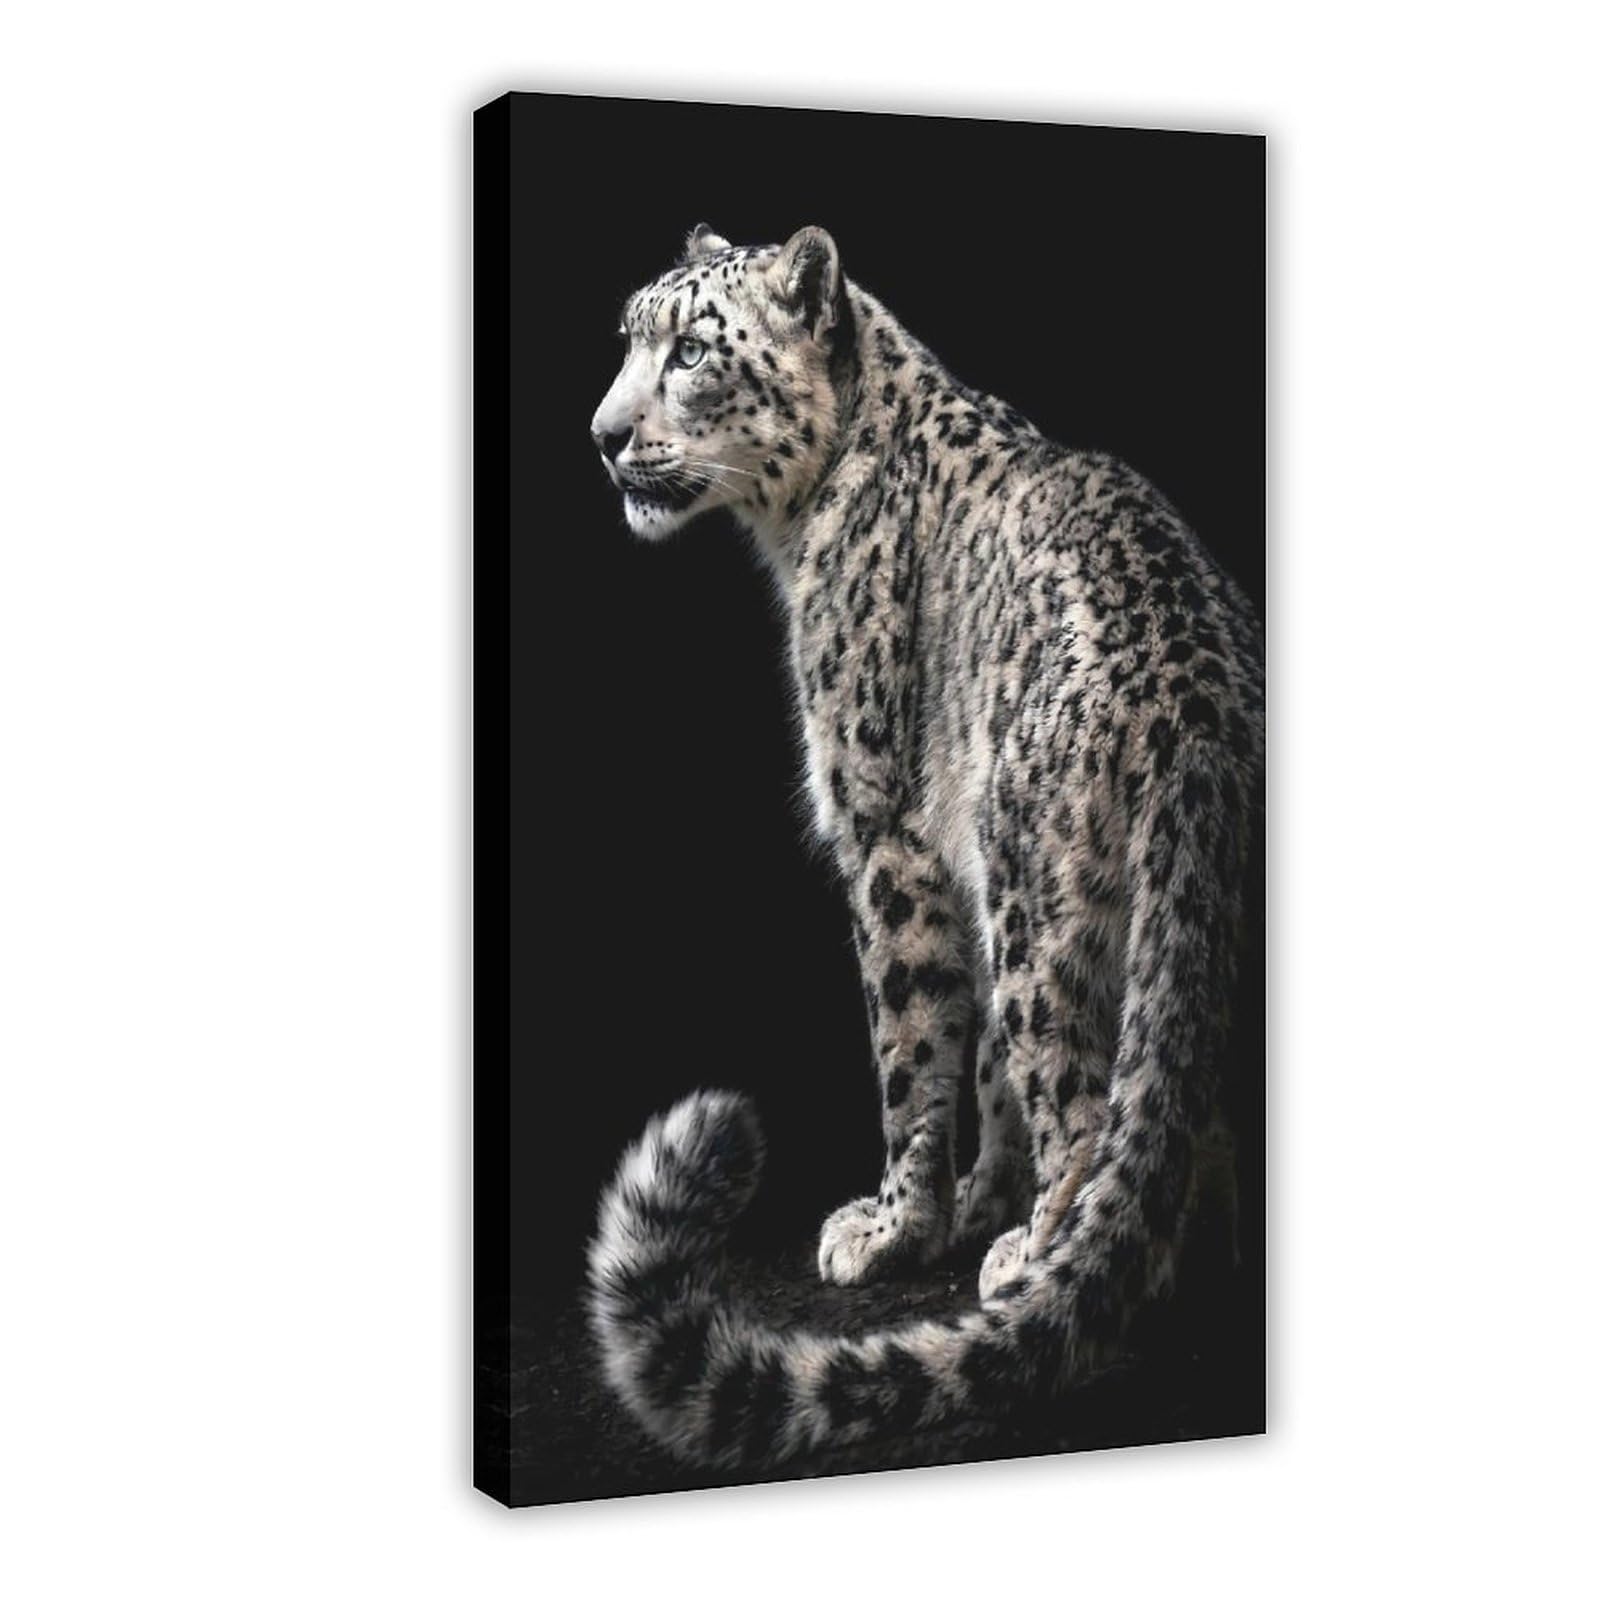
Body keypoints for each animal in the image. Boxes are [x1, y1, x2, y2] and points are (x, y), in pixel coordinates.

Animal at [585, 224, 1264, 1468]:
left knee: (1082, 1100)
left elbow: (909, 1050)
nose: (604, 435)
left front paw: (900, 1225)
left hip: (1041, 896)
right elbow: (982, 1063)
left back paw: (1041, 1257)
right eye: (627, 338)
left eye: (693, 349)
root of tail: (1200, 719)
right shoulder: (954, 859)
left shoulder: (885, 837)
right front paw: (980, 1196)